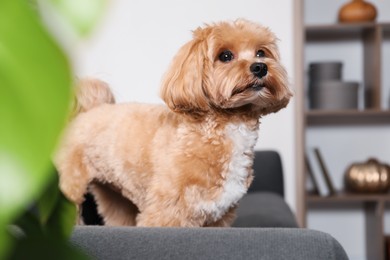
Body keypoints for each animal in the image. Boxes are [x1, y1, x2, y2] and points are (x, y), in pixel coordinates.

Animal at [55, 18, 292, 226]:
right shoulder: (166, 212)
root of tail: (89, 111)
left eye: (261, 52)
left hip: (115, 195)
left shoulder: (218, 218)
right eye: (225, 56)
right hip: (70, 186)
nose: (260, 67)